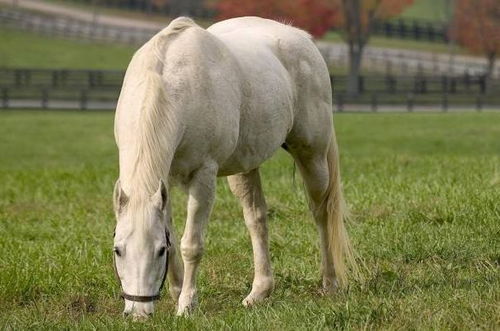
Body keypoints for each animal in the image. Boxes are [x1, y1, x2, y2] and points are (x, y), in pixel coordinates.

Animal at [113, 16, 356, 320]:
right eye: (117, 250)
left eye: (158, 251)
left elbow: (191, 244)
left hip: (313, 156)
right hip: (246, 167)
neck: (172, 84)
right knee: (257, 219)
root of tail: (302, 38)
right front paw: (177, 292)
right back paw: (259, 292)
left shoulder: (203, 176)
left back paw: (329, 282)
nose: (138, 312)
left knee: (322, 213)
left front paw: (186, 305)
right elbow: (173, 235)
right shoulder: (163, 181)